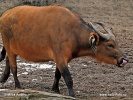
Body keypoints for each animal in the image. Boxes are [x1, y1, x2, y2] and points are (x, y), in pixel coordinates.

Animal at [0, 4, 129, 96]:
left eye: (117, 43)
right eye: (110, 45)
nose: (124, 59)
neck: (72, 32)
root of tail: (4, 15)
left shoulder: (61, 59)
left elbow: (57, 74)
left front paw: (55, 89)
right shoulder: (61, 58)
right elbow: (68, 78)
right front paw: (72, 95)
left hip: (11, 50)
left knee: (7, 60)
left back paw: (3, 78)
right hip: (10, 49)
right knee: (14, 68)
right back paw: (18, 86)